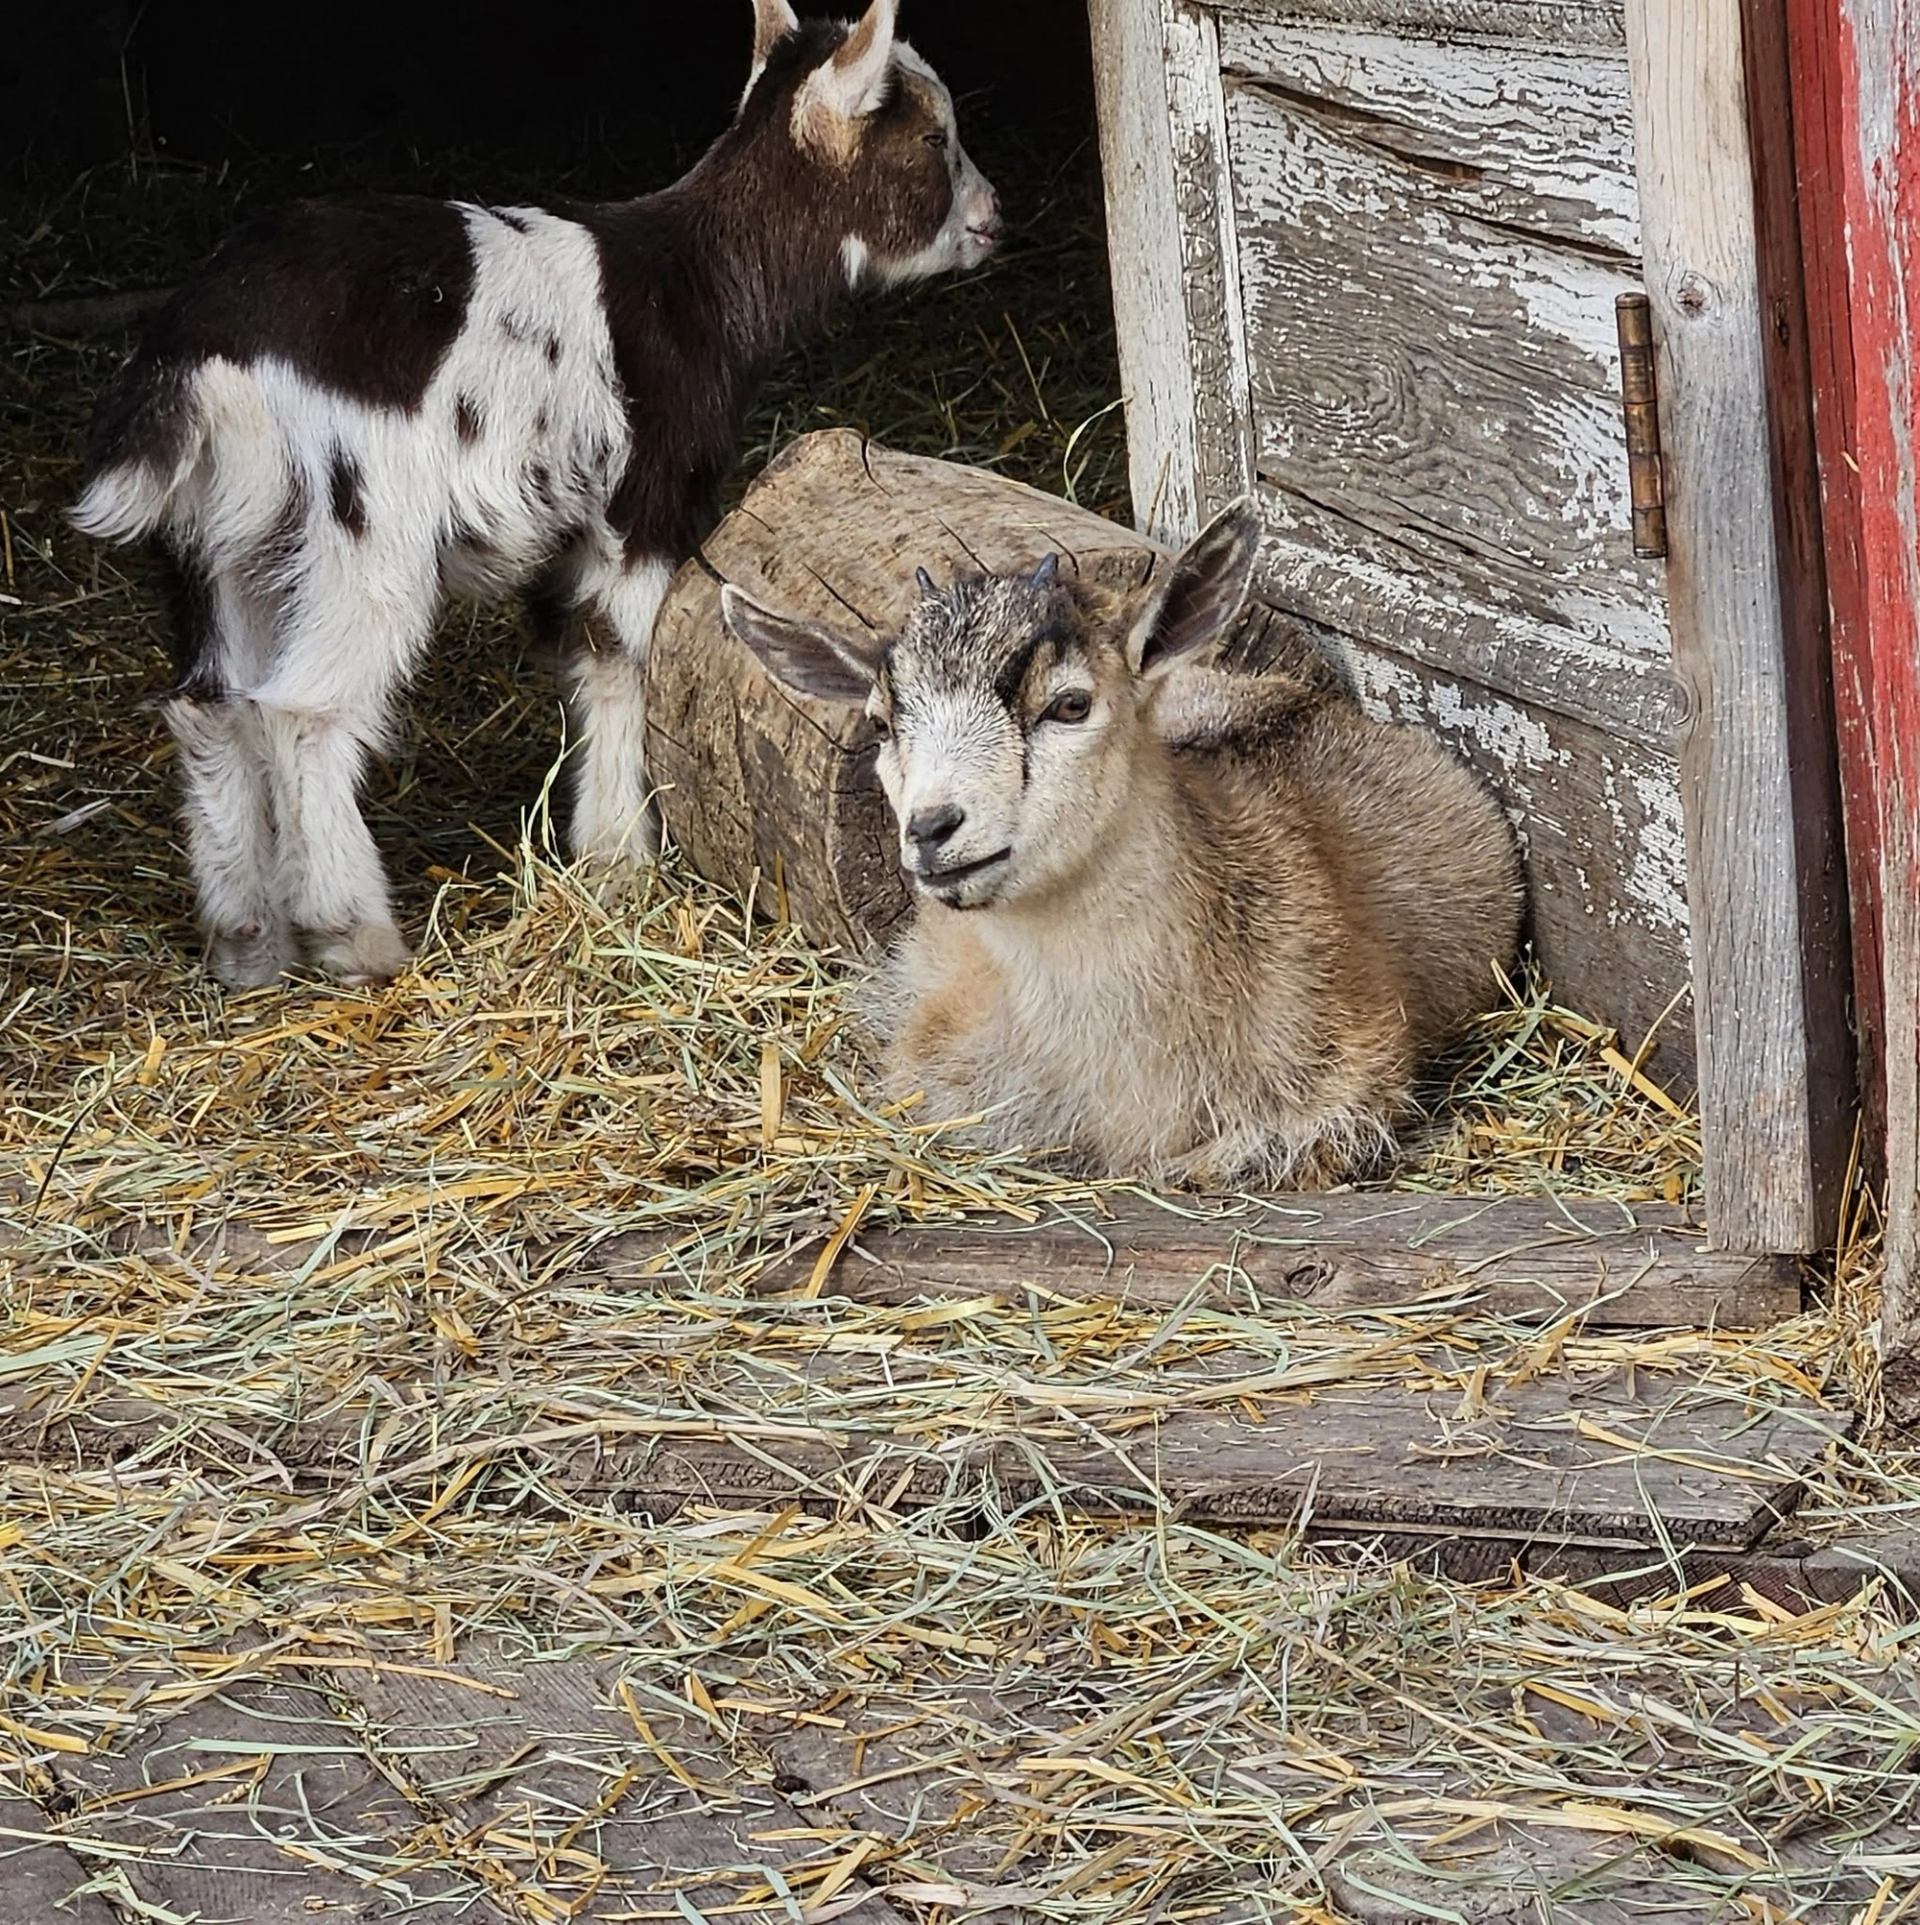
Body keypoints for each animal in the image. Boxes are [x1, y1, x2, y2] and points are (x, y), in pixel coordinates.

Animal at [72, 0, 999, 989]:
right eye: (934, 137)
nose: (994, 217)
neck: (698, 282)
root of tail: (201, 353)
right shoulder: (641, 506)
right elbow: (625, 656)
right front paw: (623, 860)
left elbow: (584, 655)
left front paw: (601, 850)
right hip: (361, 532)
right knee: (303, 712)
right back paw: (353, 932)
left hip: (220, 545)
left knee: (209, 705)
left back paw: (245, 939)